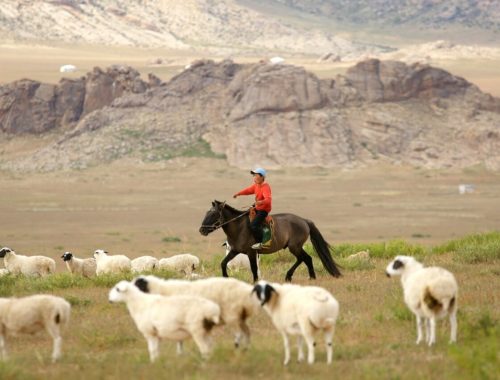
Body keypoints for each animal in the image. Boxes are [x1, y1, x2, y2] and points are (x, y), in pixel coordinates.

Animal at [197, 200, 342, 280]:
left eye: (213, 213)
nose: (202, 230)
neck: (239, 227)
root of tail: (304, 221)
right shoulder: (235, 251)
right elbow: (223, 263)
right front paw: (226, 278)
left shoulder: (251, 253)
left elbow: (254, 269)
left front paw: (256, 282)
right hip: (295, 247)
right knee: (305, 259)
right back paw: (301, 276)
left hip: (294, 247)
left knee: (305, 258)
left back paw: (303, 276)